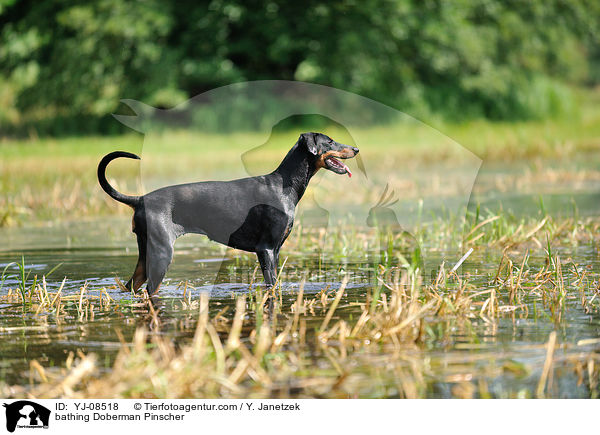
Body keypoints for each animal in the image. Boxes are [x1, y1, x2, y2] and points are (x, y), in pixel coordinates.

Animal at [98, 133, 358, 294]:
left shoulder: (276, 250)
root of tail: (140, 199)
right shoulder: (266, 250)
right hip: (162, 253)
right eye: (330, 142)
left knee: (132, 286)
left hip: (146, 252)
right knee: (151, 289)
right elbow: (271, 284)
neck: (284, 186)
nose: (356, 149)